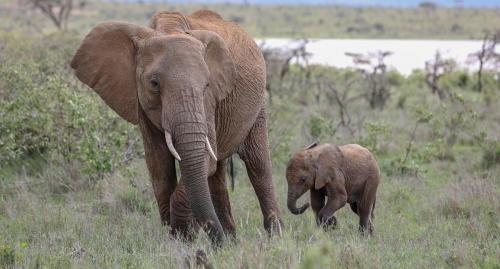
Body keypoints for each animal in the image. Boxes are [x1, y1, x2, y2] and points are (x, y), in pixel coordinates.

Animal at [70, 9, 284, 243]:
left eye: (206, 85)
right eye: (154, 84)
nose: (218, 242)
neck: (168, 27)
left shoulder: (208, 103)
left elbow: (203, 159)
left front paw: (183, 235)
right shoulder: (141, 102)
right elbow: (158, 165)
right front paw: (174, 237)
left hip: (259, 105)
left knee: (257, 164)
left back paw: (275, 239)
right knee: (217, 175)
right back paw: (231, 240)